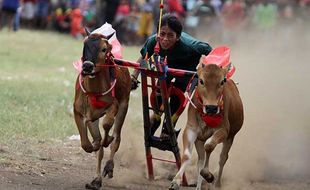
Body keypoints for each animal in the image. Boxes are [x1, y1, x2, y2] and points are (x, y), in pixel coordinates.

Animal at [73, 31, 131, 189]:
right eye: (85, 44)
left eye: (104, 49)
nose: (87, 66)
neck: (94, 90)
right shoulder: (80, 112)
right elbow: (87, 144)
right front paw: (94, 144)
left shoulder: (115, 106)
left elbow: (107, 126)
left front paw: (107, 139)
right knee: (99, 146)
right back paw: (97, 180)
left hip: (124, 105)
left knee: (117, 138)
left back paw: (109, 166)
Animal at [170, 58, 245, 189]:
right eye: (201, 80)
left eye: (222, 81)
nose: (211, 108)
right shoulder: (191, 129)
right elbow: (187, 155)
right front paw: (176, 181)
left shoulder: (224, 131)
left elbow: (209, 146)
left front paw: (208, 175)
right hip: (200, 139)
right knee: (201, 159)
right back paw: (199, 185)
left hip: (231, 136)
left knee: (222, 158)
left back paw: (217, 183)